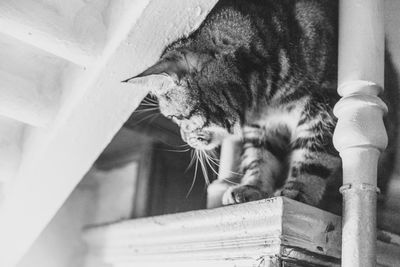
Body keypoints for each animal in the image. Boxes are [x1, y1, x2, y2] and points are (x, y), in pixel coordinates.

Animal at [124, 0, 396, 214]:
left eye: (177, 118)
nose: (184, 138)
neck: (266, 98)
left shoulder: (325, 108)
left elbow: (313, 157)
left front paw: (297, 191)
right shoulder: (260, 126)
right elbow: (259, 158)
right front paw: (252, 188)